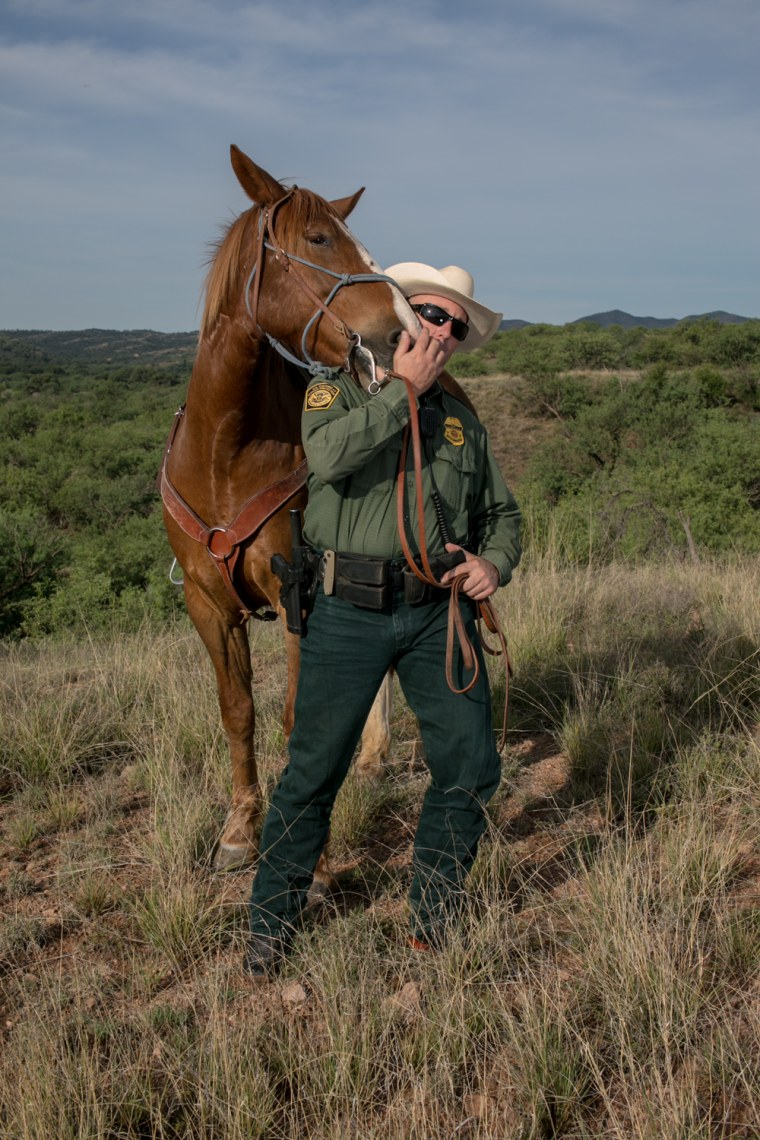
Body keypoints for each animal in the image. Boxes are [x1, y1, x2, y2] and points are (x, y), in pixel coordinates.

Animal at [161, 144, 417, 870]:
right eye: (320, 238)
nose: (398, 335)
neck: (225, 449)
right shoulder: (208, 605)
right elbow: (238, 711)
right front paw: (241, 827)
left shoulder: (303, 591)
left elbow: (301, 717)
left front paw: (311, 850)